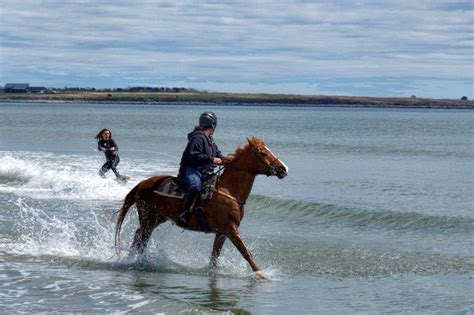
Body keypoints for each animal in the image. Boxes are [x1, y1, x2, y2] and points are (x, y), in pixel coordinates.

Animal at [115, 137, 286, 278]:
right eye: (263, 153)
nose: (284, 169)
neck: (228, 190)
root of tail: (142, 184)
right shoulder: (230, 229)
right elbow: (245, 251)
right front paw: (261, 274)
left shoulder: (222, 232)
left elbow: (215, 255)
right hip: (148, 218)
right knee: (142, 239)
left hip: (157, 218)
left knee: (138, 236)